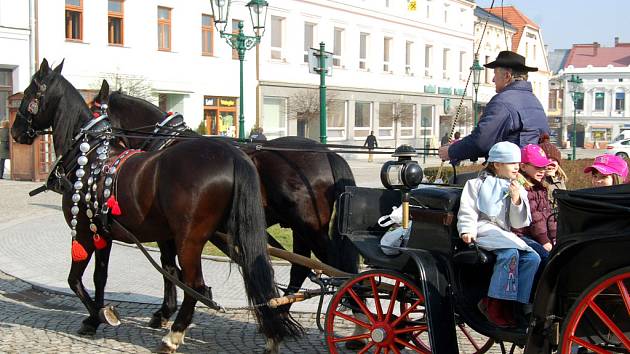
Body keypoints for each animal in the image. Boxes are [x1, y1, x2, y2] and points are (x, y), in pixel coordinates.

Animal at [11, 59, 302, 352]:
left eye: (28, 93)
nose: (14, 131)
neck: (90, 155)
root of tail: (232, 155)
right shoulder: (102, 232)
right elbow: (101, 277)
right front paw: (96, 317)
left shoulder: (83, 230)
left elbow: (76, 280)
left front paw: (101, 315)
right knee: (254, 273)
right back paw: (272, 330)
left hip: (190, 240)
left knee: (195, 284)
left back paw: (174, 335)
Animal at [91, 80, 362, 326]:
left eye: (93, 110)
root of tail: (329, 154)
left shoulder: (165, 230)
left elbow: (168, 266)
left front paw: (166, 311)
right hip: (299, 228)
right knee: (302, 267)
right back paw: (282, 310)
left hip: (309, 226)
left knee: (334, 266)